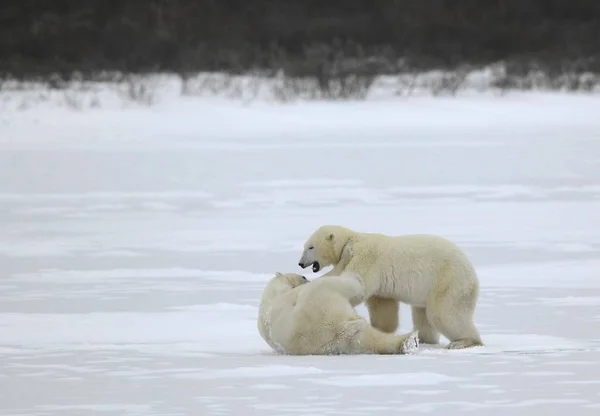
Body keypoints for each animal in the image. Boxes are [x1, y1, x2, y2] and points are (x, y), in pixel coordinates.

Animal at [256, 272, 418, 356]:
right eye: (302, 276)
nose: (306, 278)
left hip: (337, 343)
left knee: (364, 338)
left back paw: (409, 343)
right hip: (321, 298)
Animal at [298, 226, 486, 350]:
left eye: (311, 247)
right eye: (305, 246)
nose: (300, 263)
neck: (353, 239)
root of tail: (472, 274)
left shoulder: (367, 257)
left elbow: (358, 285)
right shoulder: (381, 287)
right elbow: (383, 306)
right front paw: (381, 329)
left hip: (448, 280)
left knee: (445, 314)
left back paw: (463, 342)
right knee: (422, 315)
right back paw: (426, 339)